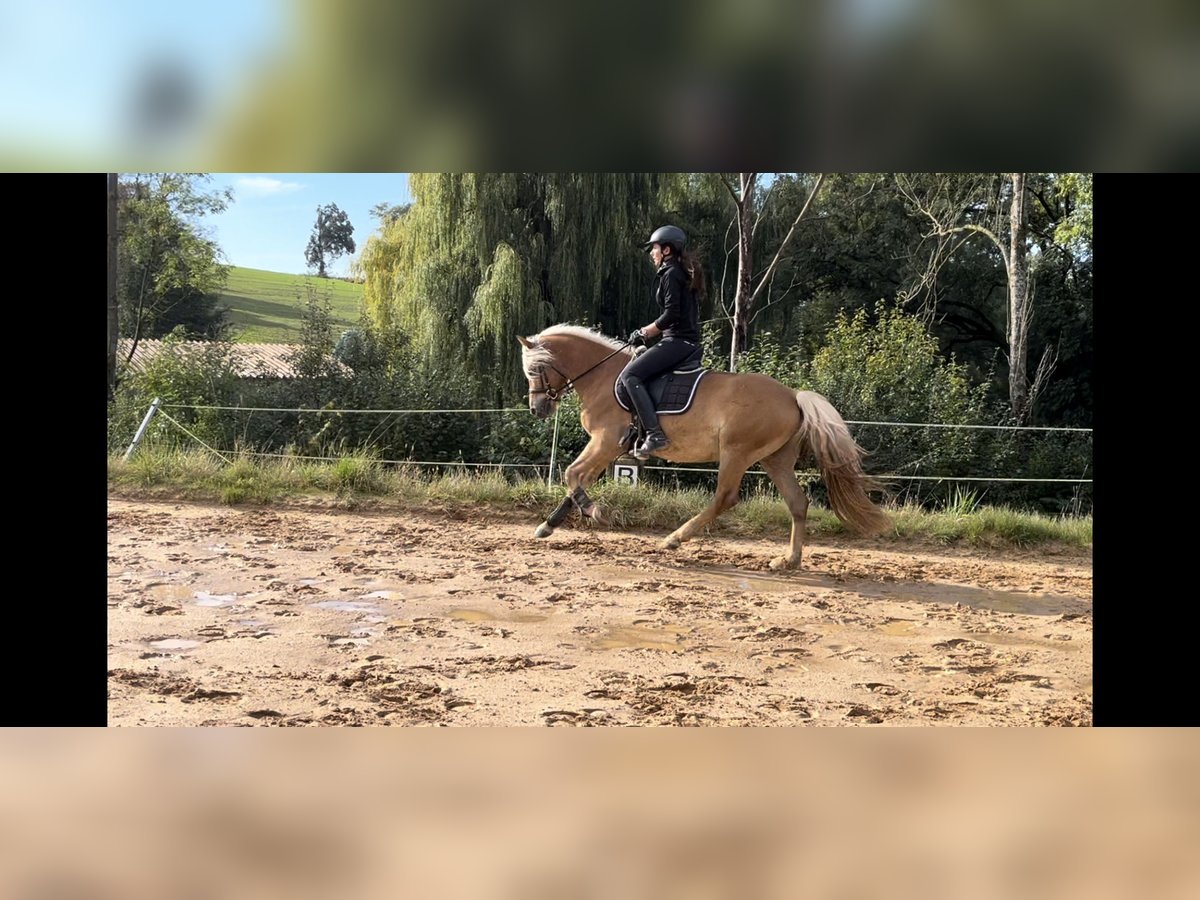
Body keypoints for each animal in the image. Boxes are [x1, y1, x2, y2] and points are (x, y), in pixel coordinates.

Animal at [516, 326, 892, 571]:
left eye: (535, 369)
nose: (537, 409)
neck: (603, 376)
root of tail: (793, 396)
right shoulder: (606, 445)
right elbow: (578, 480)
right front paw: (548, 526)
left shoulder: (606, 440)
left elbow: (573, 474)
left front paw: (597, 513)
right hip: (776, 460)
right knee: (798, 504)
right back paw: (788, 560)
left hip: (736, 453)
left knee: (725, 498)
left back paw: (674, 539)